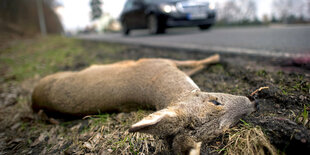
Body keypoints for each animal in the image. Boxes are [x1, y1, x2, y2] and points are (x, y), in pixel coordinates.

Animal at [31, 54, 256, 154]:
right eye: (216, 101)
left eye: (226, 128)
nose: (254, 103)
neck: (160, 79)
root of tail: (34, 99)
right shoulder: (156, 60)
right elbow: (194, 62)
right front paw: (218, 57)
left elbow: (194, 65)